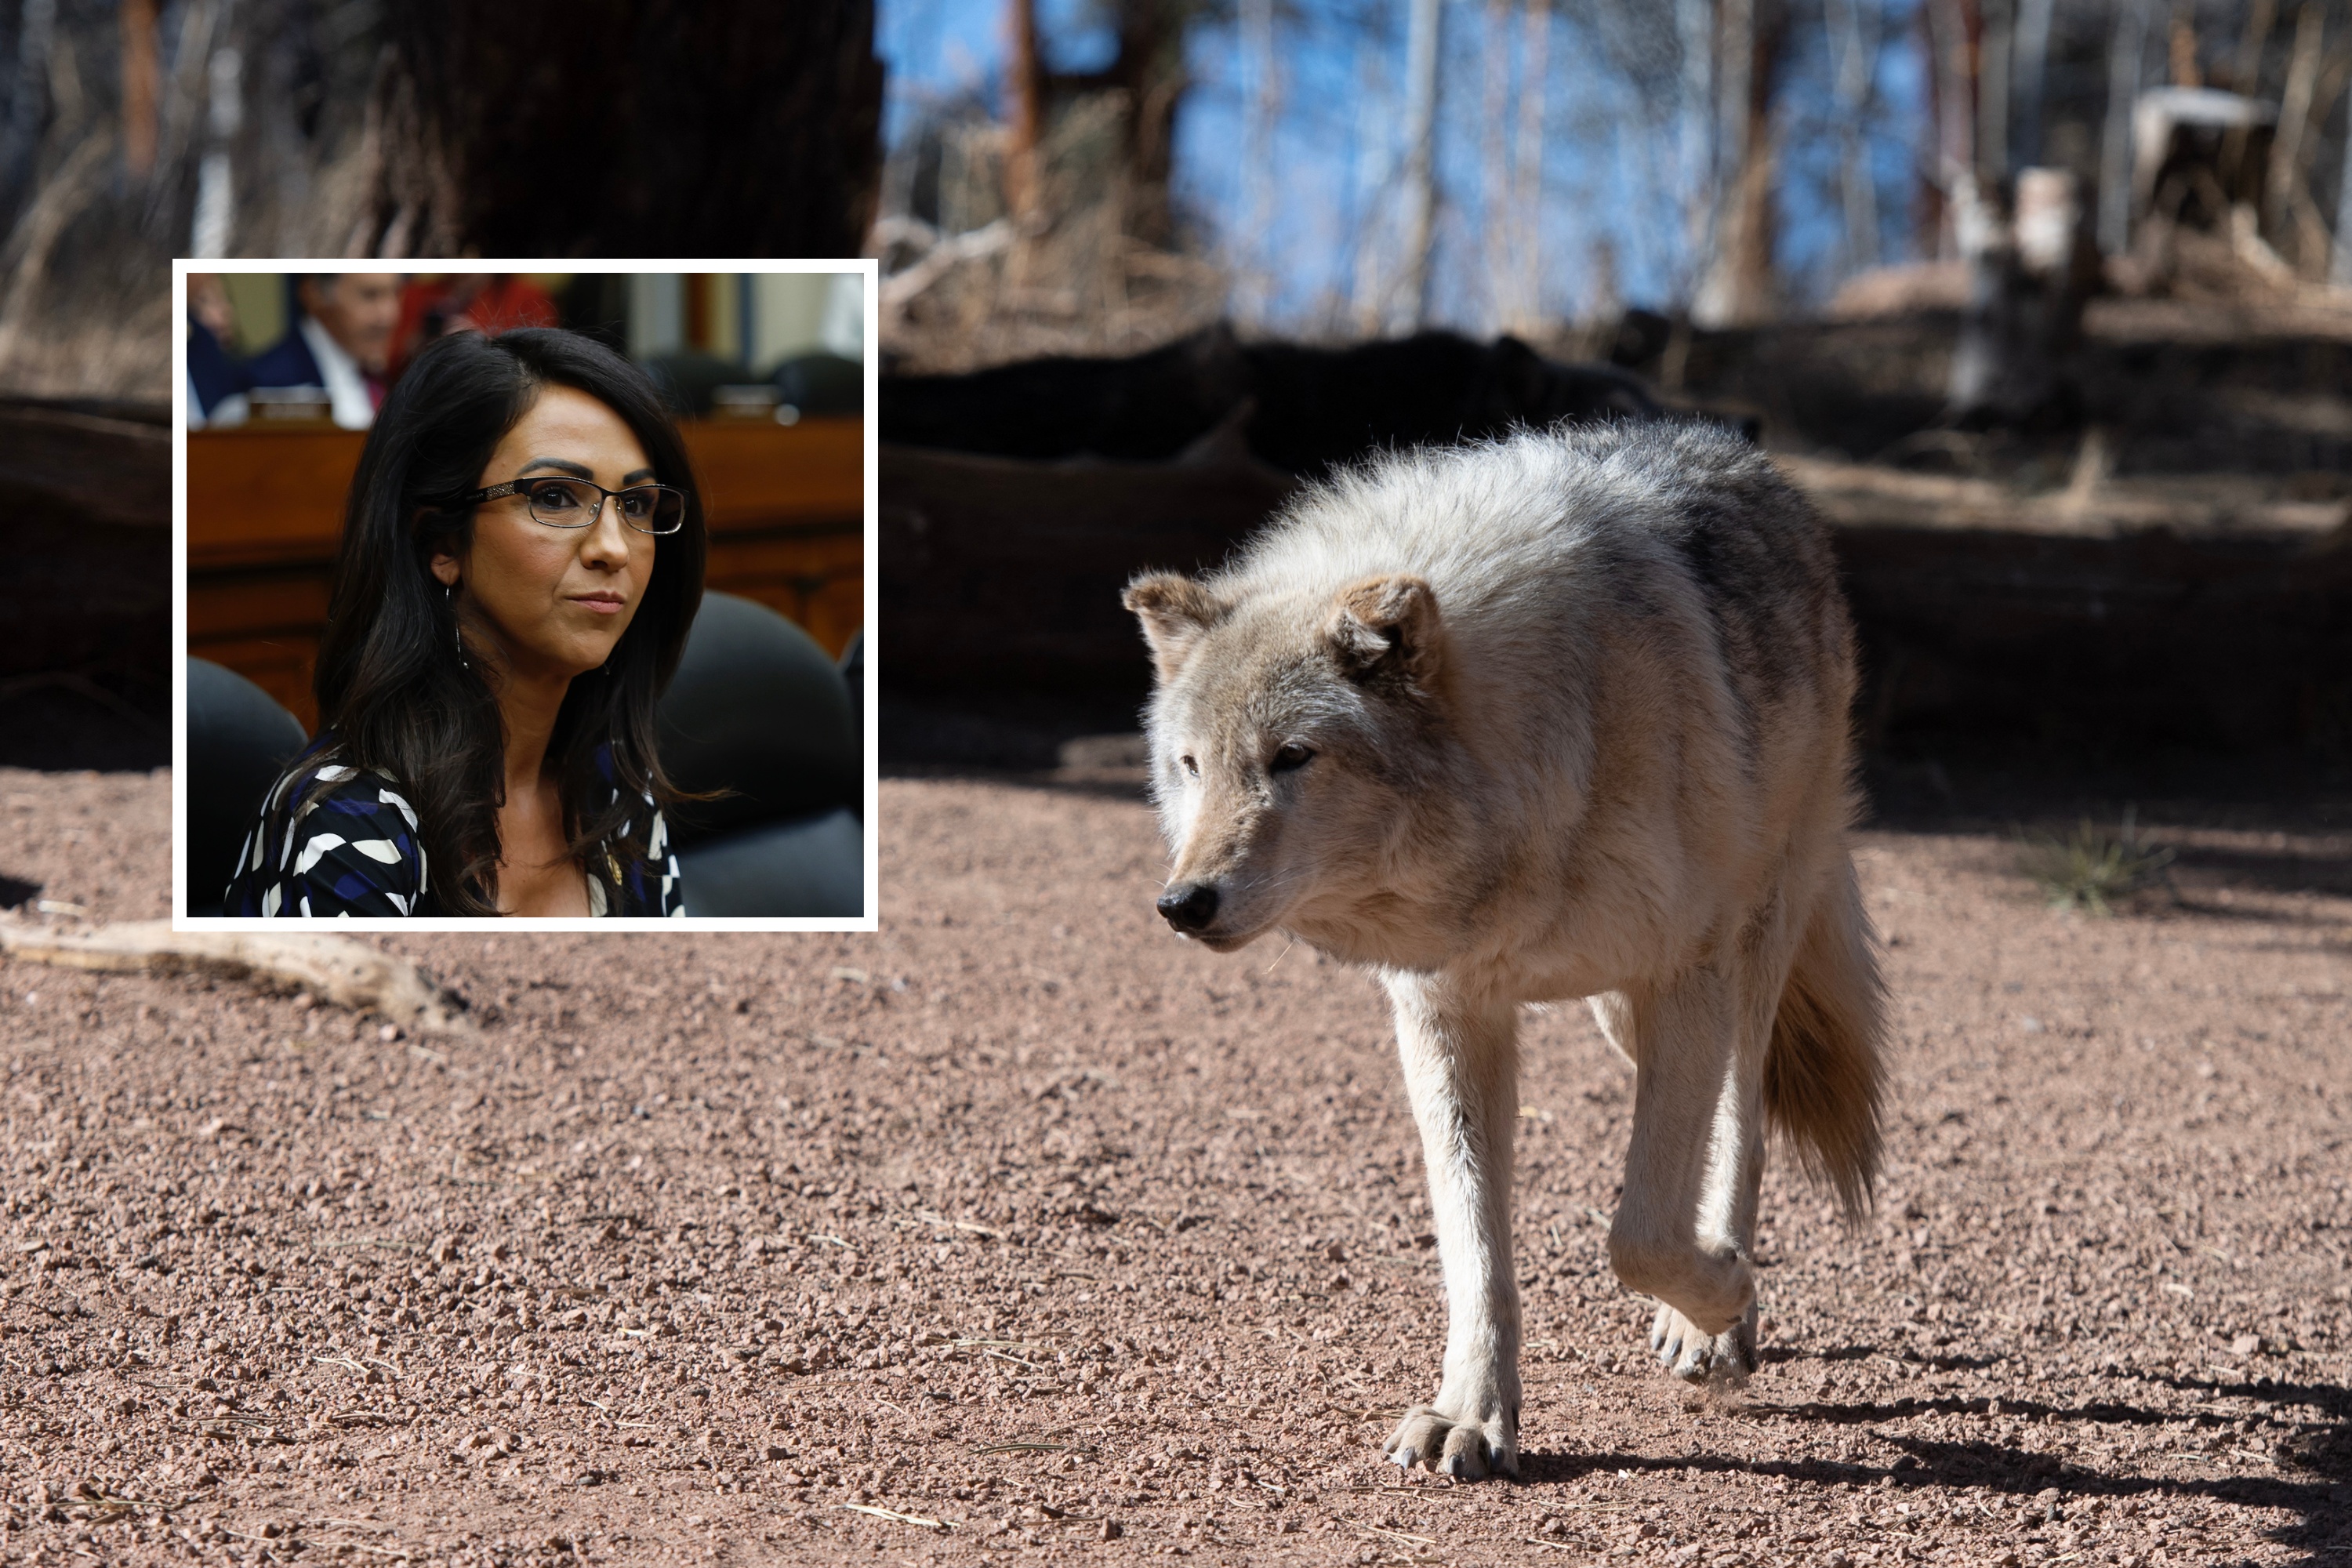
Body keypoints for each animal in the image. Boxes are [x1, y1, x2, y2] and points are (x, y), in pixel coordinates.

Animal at [1124, 423, 1891, 1476]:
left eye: (1292, 757)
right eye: (1192, 764)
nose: (1181, 903)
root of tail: (1739, 451)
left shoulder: (1682, 976)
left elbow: (1637, 1232)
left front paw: (1725, 1292)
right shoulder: (1446, 1011)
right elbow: (1475, 1250)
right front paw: (1475, 1414)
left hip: (1743, 958)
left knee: (1743, 1124)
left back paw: (1715, 1320)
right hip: (1620, 1018)